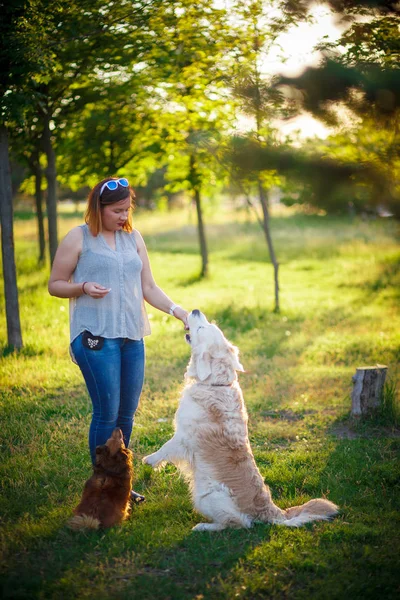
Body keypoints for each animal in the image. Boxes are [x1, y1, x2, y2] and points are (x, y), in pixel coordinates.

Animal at [144, 310, 338, 528]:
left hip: (207, 496)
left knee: (237, 523)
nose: (195, 311)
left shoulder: (184, 435)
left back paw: (204, 526)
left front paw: (149, 460)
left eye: (201, 328)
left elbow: (166, 447)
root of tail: (273, 512)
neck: (216, 384)